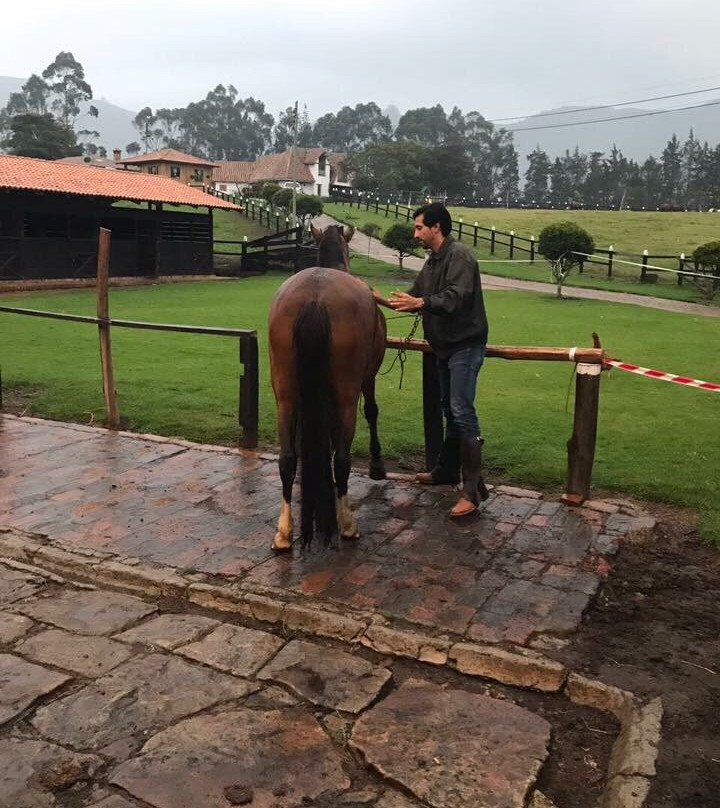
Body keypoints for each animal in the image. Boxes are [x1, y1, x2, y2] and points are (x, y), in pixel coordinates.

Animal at [266, 221, 388, 552]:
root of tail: (315, 298)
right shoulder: (367, 378)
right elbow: (372, 411)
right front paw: (376, 464)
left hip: (285, 396)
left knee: (287, 458)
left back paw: (284, 532)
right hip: (346, 396)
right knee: (342, 459)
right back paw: (346, 524)